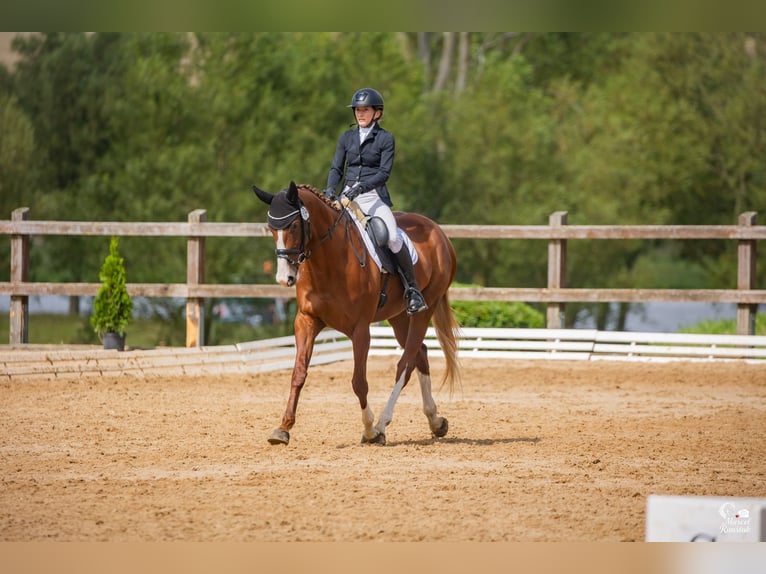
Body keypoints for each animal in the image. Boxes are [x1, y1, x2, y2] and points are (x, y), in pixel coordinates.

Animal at [253, 181, 461, 445]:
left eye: (295, 225)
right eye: (271, 228)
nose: (284, 278)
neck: (329, 260)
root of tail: (438, 231)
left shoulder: (360, 330)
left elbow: (359, 382)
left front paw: (370, 430)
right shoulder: (306, 321)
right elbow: (298, 374)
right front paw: (283, 428)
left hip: (425, 308)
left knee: (405, 363)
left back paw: (382, 424)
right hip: (398, 316)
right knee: (420, 354)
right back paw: (435, 421)